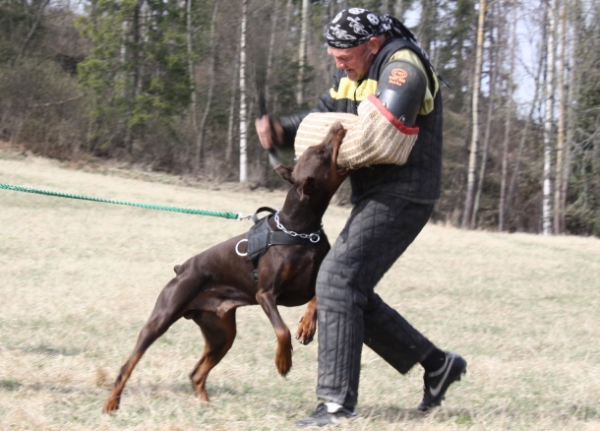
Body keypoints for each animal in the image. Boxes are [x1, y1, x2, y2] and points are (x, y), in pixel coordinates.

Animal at [102, 123, 346, 414]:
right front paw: (283, 361)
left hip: (222, 333)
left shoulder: (314, 279)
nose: (338, 125)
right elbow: (282, 330)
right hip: (162, 317)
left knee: (196, 373)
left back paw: (207, 406)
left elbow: (317, 297)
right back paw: (112, 403)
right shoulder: (265, 294)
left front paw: (307, 327)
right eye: (320, 152)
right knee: (128, 364)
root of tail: (182, 268)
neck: (299, 229)